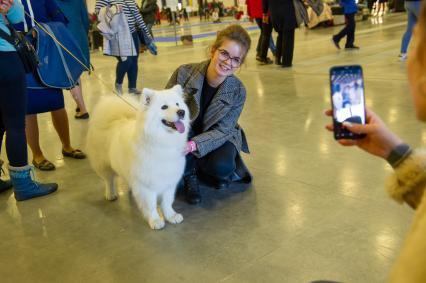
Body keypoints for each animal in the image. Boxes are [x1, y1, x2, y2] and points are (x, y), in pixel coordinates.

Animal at [86, 85, 190, 230]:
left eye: (177, 104)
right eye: (164, 107)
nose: (181, 112)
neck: (161, 141)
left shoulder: (169, 180)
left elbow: (167, 201)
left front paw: (171, 216)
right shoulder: (147, 184)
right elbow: (151, 205)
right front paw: (155, 221)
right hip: (103, 164)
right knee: (108, 179)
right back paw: (110, 194)